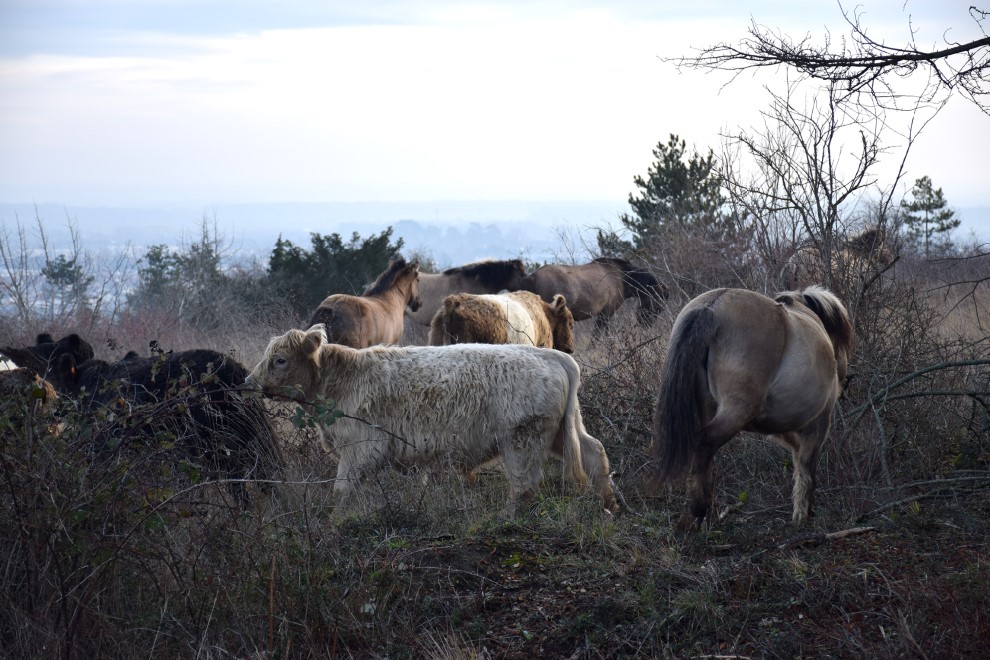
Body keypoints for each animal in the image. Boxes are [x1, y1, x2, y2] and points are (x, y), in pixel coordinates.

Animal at [246, 325, 620, 515]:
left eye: (279, 359)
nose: (250, 381)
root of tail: (550, 355)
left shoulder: (361, 448)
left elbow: (342, 490)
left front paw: (337, 523)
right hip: (561, 431)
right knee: (594, 452)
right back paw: (608, 503)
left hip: (521, 439)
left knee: (525, 483)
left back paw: (506, 517)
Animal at [645, 285, 854, 528]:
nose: (843, 378)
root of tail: (713, 305)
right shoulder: (818, 423)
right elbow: (806, 466)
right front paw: (803, 514)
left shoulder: (781, 428)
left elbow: (798, 459)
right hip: (736, 412)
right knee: (704, 443)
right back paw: (700, 508)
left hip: (710, 408)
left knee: (706, 459)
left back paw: (709, 515)